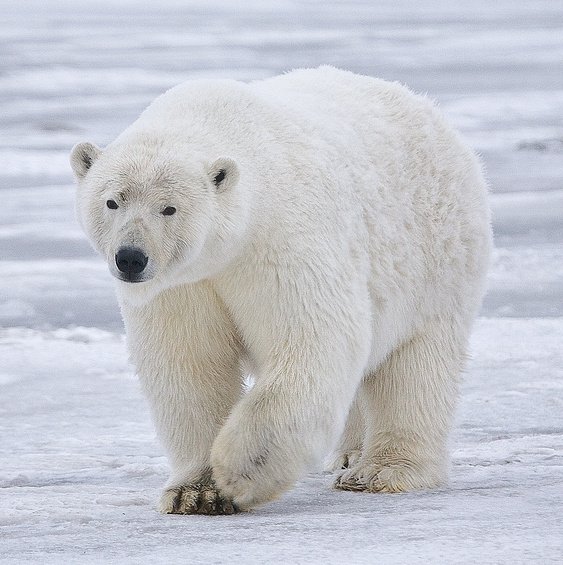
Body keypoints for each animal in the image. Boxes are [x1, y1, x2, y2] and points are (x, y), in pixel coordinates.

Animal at [71, 65, 494, 512]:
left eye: (169, 208)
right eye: (112, 201)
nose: (131, 258)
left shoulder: (280, 240)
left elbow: (313, 338)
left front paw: (239, 472)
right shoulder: (182, 285)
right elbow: (189, 364)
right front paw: (195, 492)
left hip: (436, 260)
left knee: (416, 366)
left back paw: (381, 471)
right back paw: (348, 454)